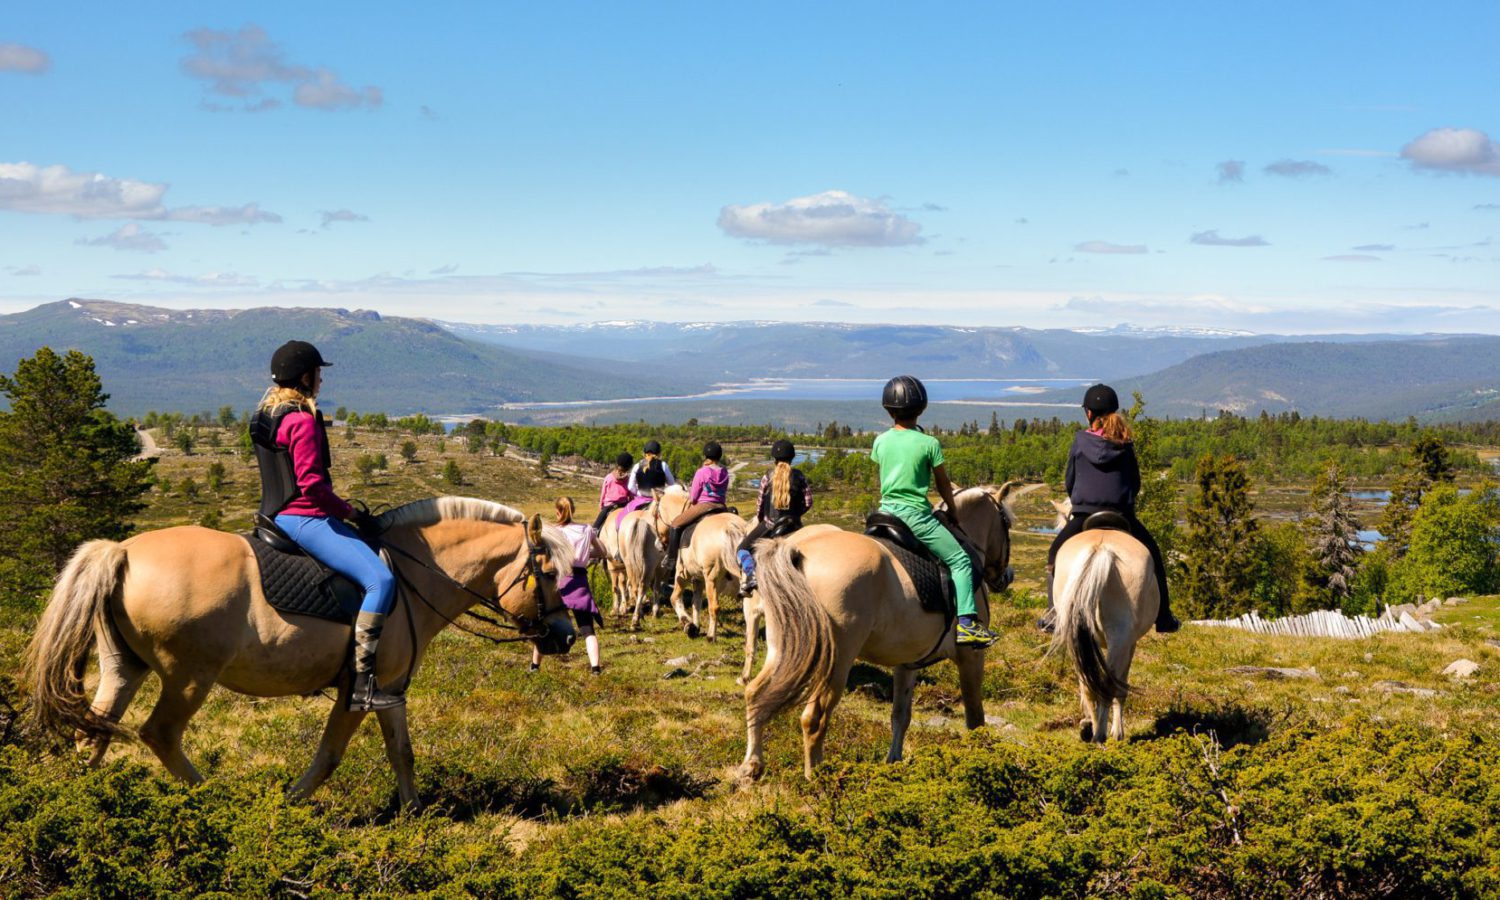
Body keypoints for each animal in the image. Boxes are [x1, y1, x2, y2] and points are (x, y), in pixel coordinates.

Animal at [24, 498, 573, 810]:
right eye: (547, 573)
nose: (565, 636)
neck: (415, 575)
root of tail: (122, 552)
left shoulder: (390, 689)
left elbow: (402, 752)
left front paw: (415, 814)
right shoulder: (358, 691)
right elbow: (329, 756)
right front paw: (290, 804)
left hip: (125, 667)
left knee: (93, 731)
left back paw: (80, 803)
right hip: (189, 678)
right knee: (159, 734)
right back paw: (217, 799)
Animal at [657, 489, 750, 642]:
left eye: (657, 514)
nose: (660, 543)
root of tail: (732, 527)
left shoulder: (683, 574)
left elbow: (674, 598)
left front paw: (689, 625)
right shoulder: (698, 578)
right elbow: (696, 602)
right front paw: (695, 626)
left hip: (711, 577)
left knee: (714, 607)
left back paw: (711, 636)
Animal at [738, 486, 1020, 780]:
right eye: (1006, 523)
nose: (1007, 576)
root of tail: (795, 550)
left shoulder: (907, 664)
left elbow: (900, 715)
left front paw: (893, 761)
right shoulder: (970, 658)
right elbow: (975, 718)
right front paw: (983, 757)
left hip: (784, 646)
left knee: (755, 693)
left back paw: (752, 764)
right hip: (836, 661)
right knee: (814, 717)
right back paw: (817, 777)